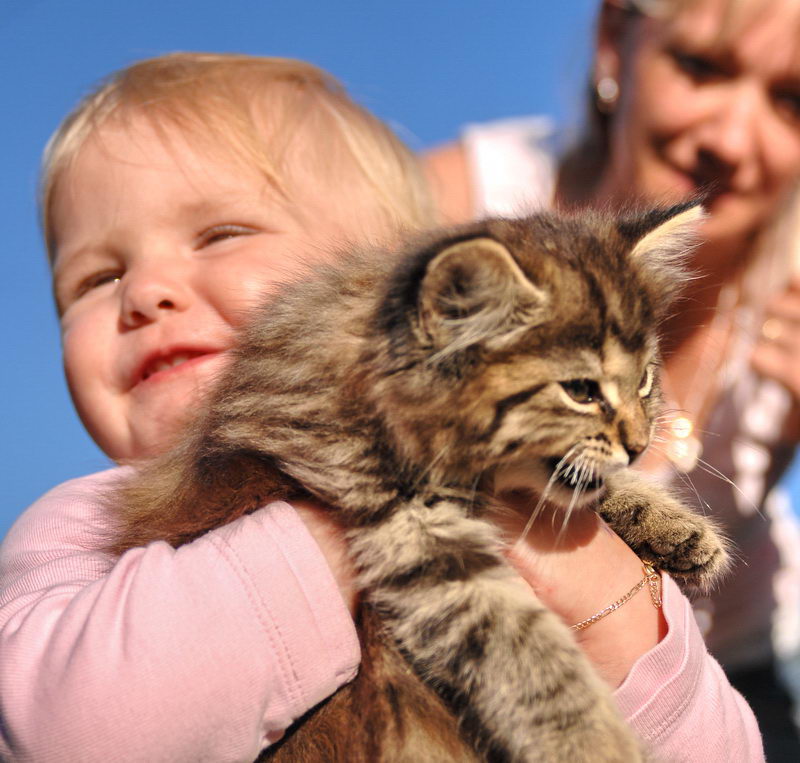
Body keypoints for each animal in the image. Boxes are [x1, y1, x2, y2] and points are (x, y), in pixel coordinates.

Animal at [109, 203, 728, 763]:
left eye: (644, 380)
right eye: (580, 391)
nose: (640, 443)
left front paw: (674, 527)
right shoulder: (414, 531)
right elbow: (534, 662)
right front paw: (598, 745)